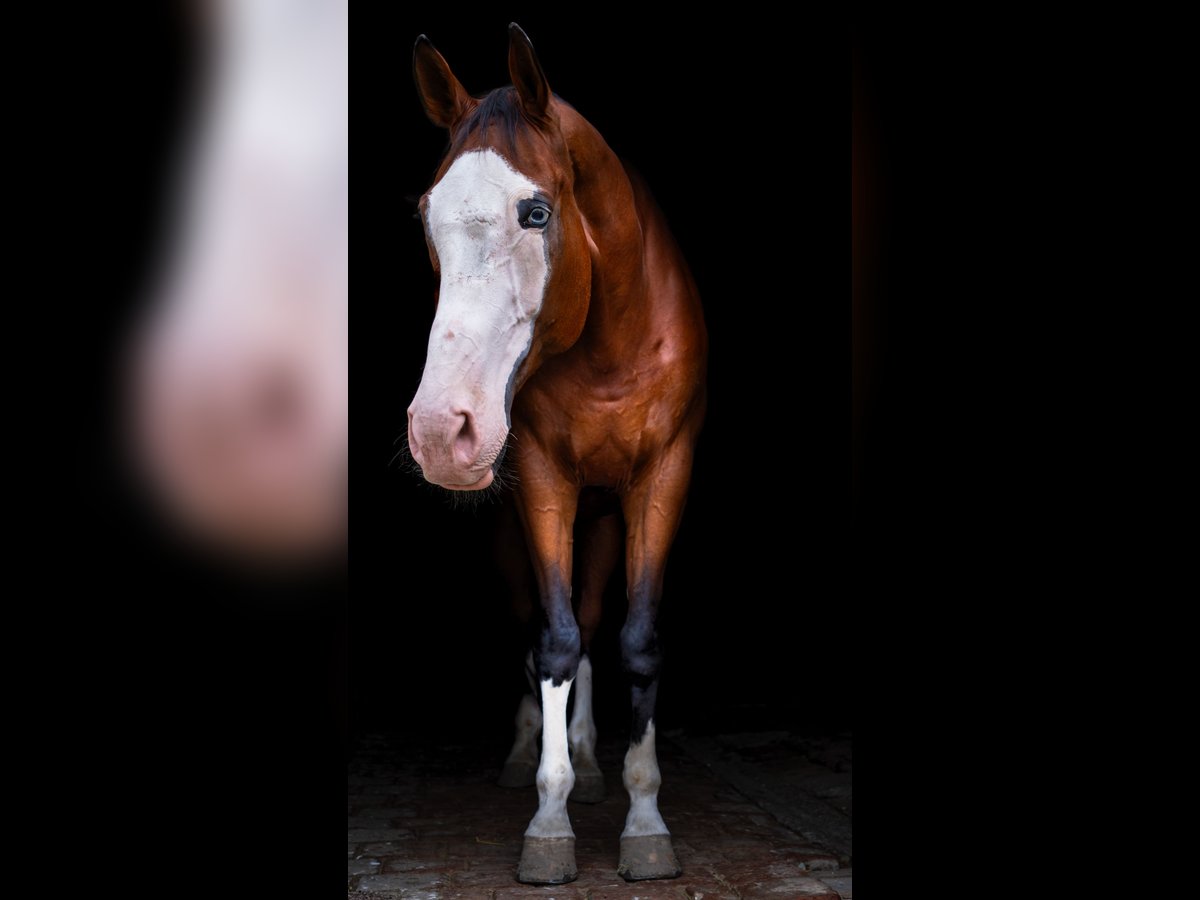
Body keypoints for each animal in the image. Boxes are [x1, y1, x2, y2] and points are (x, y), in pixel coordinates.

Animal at [408, 22, 705, 888]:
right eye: (426, 214)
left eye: (536, 211)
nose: (439, 431)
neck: (612, 344)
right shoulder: (542, 480)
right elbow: (555, 640)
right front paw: (547, 820)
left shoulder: (664, 477)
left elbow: (634, 640)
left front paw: (644, 819)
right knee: (537, 621)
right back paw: (525, 755)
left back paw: (593, 760)